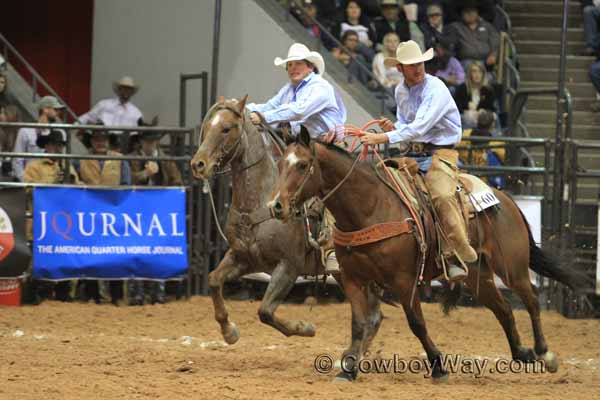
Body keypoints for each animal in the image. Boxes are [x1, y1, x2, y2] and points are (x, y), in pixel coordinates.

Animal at [190, 95, 384, 346]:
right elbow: (214, 280)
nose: (198, 164)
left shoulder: (289, 266)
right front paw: (229, 331)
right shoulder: (243, 258)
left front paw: (305, 328)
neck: (258, 202)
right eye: (206, 127)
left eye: (226, 128)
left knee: (373, 315)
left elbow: (265, 311)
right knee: (373, 315)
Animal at [270, 130, 588, 382]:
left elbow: (416, 323)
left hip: (512, 267)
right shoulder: (353, 279)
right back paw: (522, 353)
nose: (276, 206)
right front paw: (348, 370)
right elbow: (359, 323)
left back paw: (544, 353)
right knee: (504, 309)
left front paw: (438, 366)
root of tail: (505, 198)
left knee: (531, 298)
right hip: (477, 275)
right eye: (280, 164)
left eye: (302, 164)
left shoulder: (404, 280)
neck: (370, 207)